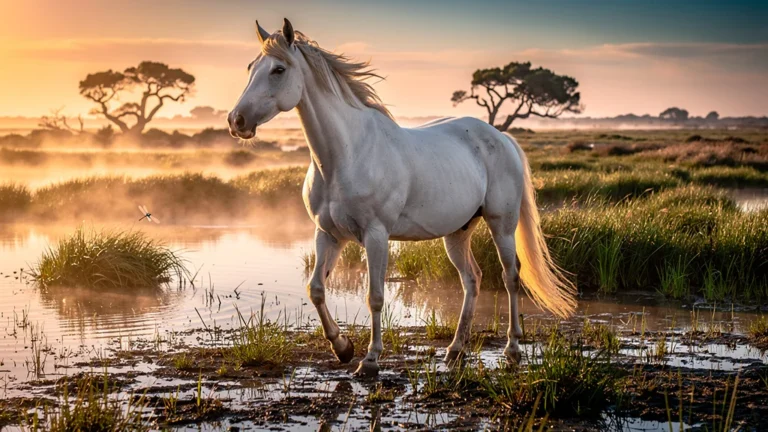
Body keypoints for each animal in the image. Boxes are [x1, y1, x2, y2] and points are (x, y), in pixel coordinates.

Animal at [228, 18, 576, 377]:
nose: (236, 121)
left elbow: (375, 296)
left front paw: (370, 360)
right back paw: (455, 350)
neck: (346, 154)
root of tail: (502, 137)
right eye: (251, 67)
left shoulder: (376, 235)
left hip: (501, 226)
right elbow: (316, 289)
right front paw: (342, 348)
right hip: (457, 233)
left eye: (278, 69)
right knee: (472, 280)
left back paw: (512, 350)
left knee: (510, 277)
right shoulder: (328, 234)